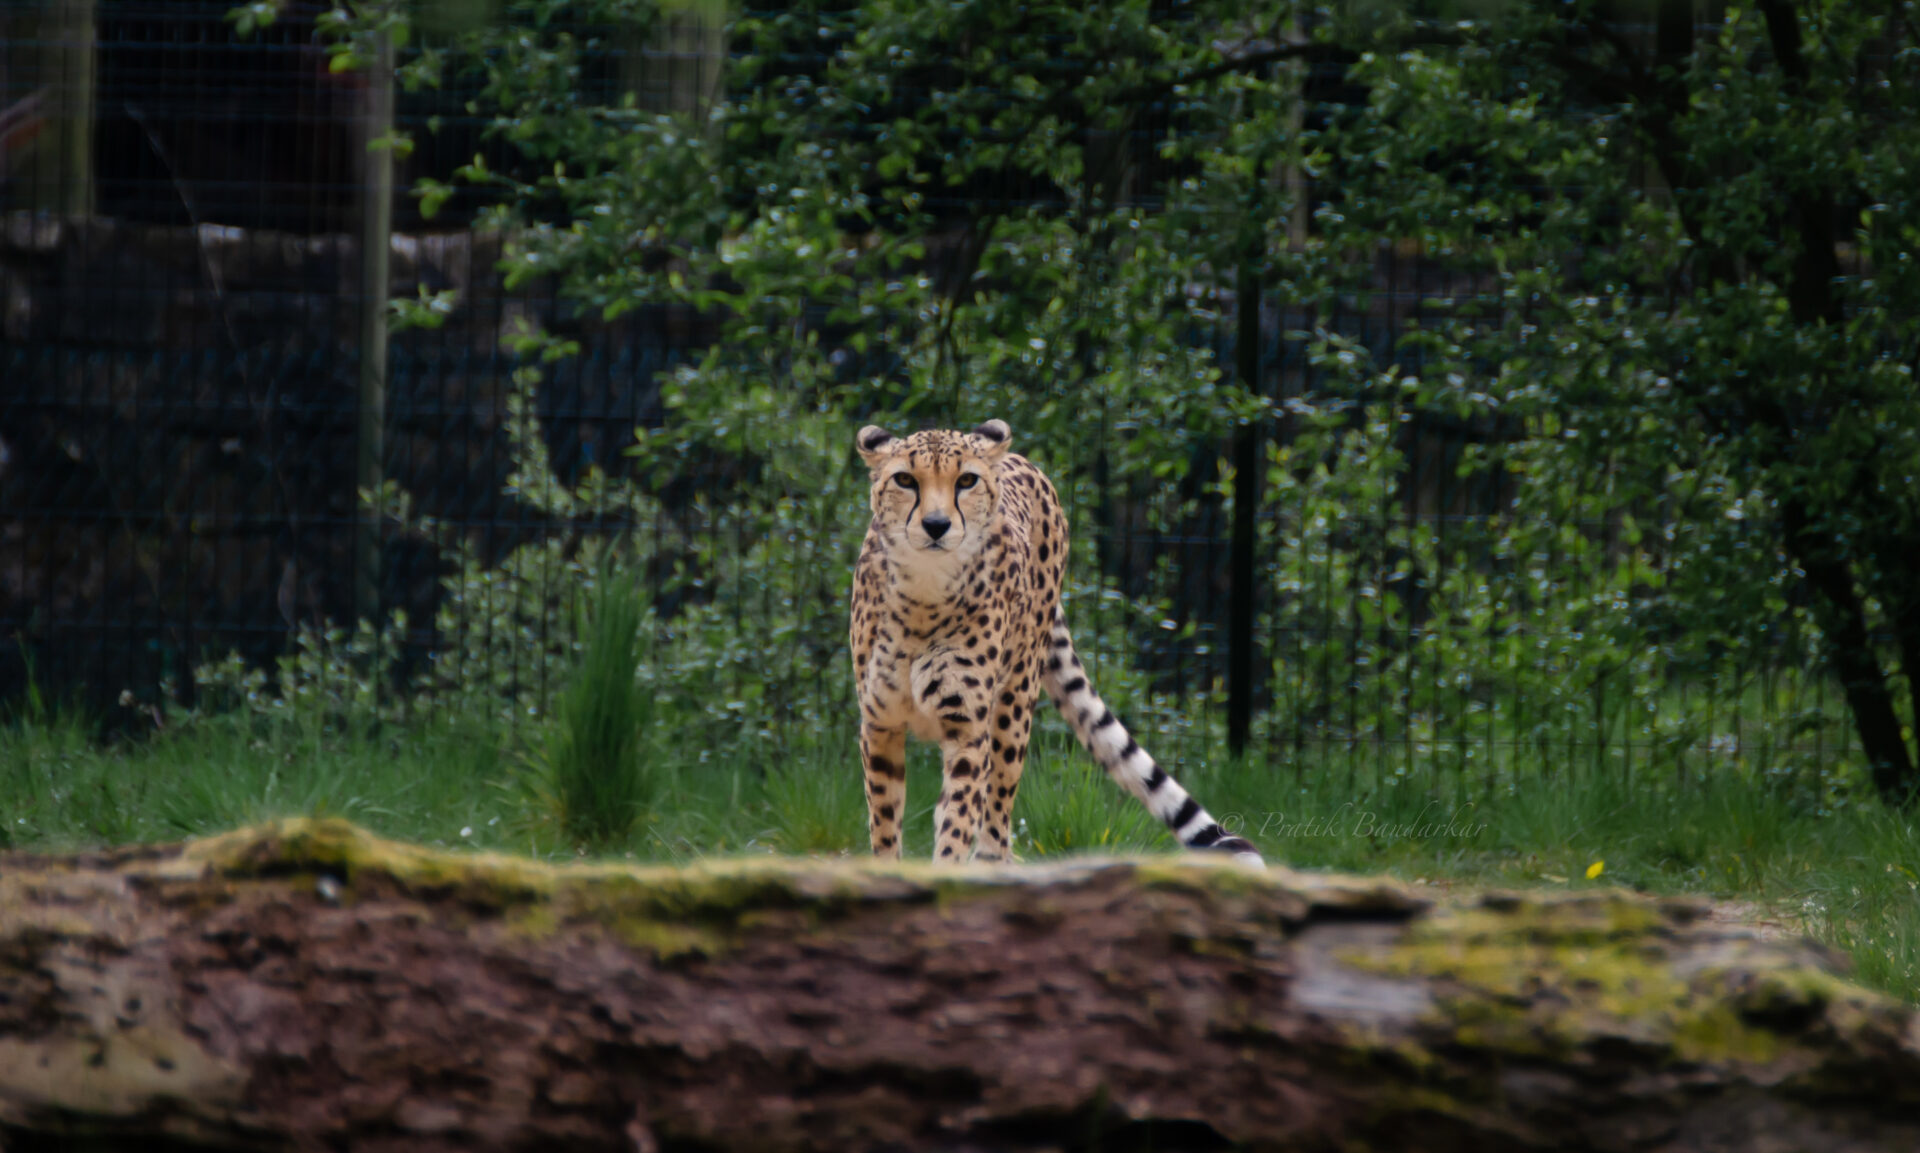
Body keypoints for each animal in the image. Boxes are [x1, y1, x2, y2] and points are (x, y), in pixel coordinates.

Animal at [852, 420, 1259, 863]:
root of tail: (1021, 460)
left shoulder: (967, 729)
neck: (925, 592)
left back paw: (991, 860)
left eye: (966, 481)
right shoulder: (879, 723)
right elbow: (884, 821)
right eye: (906, 480)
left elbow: (956, 819)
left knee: (998, 805)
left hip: (1015, 701)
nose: (936, 525)